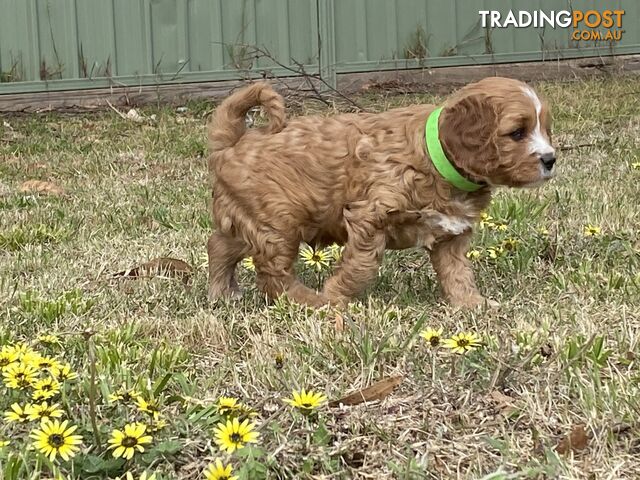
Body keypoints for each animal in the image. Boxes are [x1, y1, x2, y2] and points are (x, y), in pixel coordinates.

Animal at [206, 75, 556, 308]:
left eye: (545, 129)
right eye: (517, 133)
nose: (551, 159)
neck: (433, 157)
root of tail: (233, 142)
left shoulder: (451, 235)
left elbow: (457, 272)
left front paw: (471, 304)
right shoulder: (370, 216)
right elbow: (362, 267)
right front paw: (336, 295)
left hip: (250, 220)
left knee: (220, 246)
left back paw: (222, 292)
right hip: (278, 223)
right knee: (271, 272)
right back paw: (312, 302)